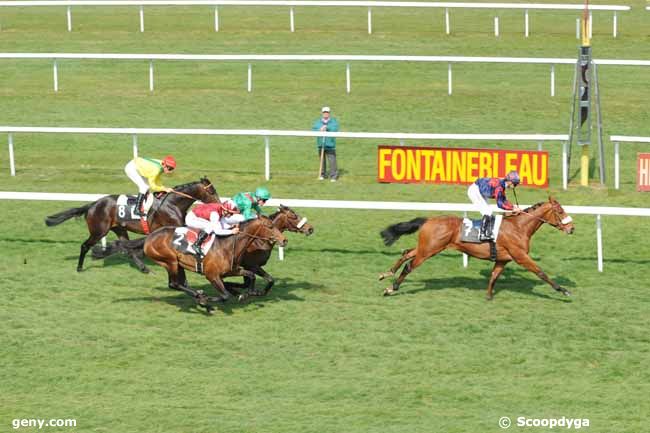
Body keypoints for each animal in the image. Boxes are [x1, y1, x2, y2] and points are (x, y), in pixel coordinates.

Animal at [45, 176, 220, 272]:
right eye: (211, 191)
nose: (220, 205)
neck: (172, 203)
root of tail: (92, 205)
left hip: (119, 229)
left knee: (127, 248)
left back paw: (143, 268)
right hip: (99, 231)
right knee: (85, 246)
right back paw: (80, 267)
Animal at [111, 218, 286, 312]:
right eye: (270, 226)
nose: (284, 240)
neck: (229, 244)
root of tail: (149, 237)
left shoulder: (232, 270)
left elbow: (250, 276)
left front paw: (247, 293)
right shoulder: (212, 275)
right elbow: (225, 295)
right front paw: (207, 299)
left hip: (178, 264)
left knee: (180, 283)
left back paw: (200, 298)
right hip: (170, 261)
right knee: (174, 284)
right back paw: (201, 298)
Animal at [378, 197, 576, 300]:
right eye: (560, 211)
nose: (571, 228)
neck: (519, 227)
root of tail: (428, 220)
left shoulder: (503, 259)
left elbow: (494, 276)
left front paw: (488, 295)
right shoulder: (520, 256)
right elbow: (541, 272)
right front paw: (563, 290)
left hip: (426, 247)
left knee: (406, 253)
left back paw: (386, 274)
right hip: (429, 250)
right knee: (409, 266)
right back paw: (391, 288)